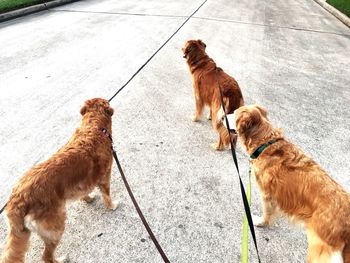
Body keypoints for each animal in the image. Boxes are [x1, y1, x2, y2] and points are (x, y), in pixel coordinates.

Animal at [0, 98, 117, 262]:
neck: (93, 128)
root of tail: (17, 199)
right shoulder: (105, 176)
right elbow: (106, 195)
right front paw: (112, 206)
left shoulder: (80, 183)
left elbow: (83, 193)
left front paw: (88, 198)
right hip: (56, 225)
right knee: (46, 256)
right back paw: (60, 259)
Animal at [232, 105, 350, 263]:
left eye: (234, 113)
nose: (223, 115)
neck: (265, 143)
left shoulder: (267, 195)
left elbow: (267, 213)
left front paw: (261, 223)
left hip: (320, 248)